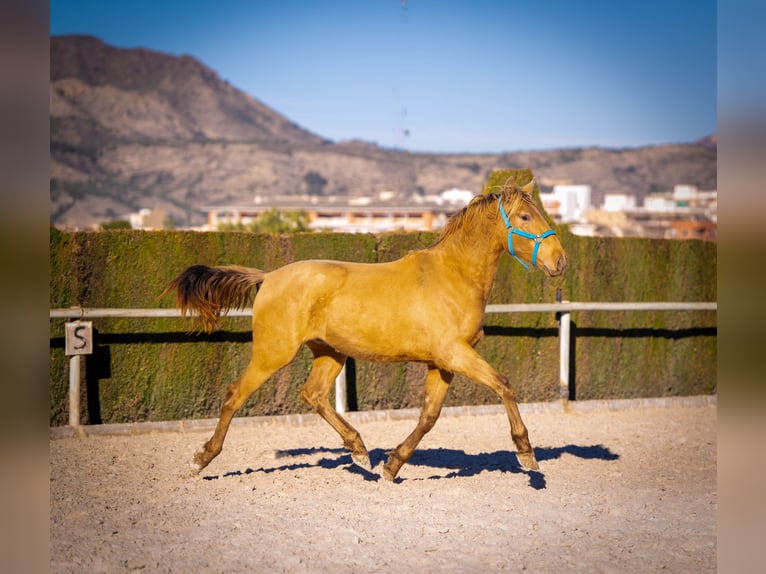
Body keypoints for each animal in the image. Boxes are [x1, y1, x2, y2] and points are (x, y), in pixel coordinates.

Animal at [165, 179, 568, 482]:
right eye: (525, 216)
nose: (560, 261)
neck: (452, 276)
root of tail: (269, 277)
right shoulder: (455, 353)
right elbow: (504, 385)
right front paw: (526, 453)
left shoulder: (442, 363)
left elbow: (429, 416)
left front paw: (392, 465)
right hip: (273, 353)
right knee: (235, 395)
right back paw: (201, 459)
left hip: (330, 352)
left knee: (313, 395)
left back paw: (360, 451)